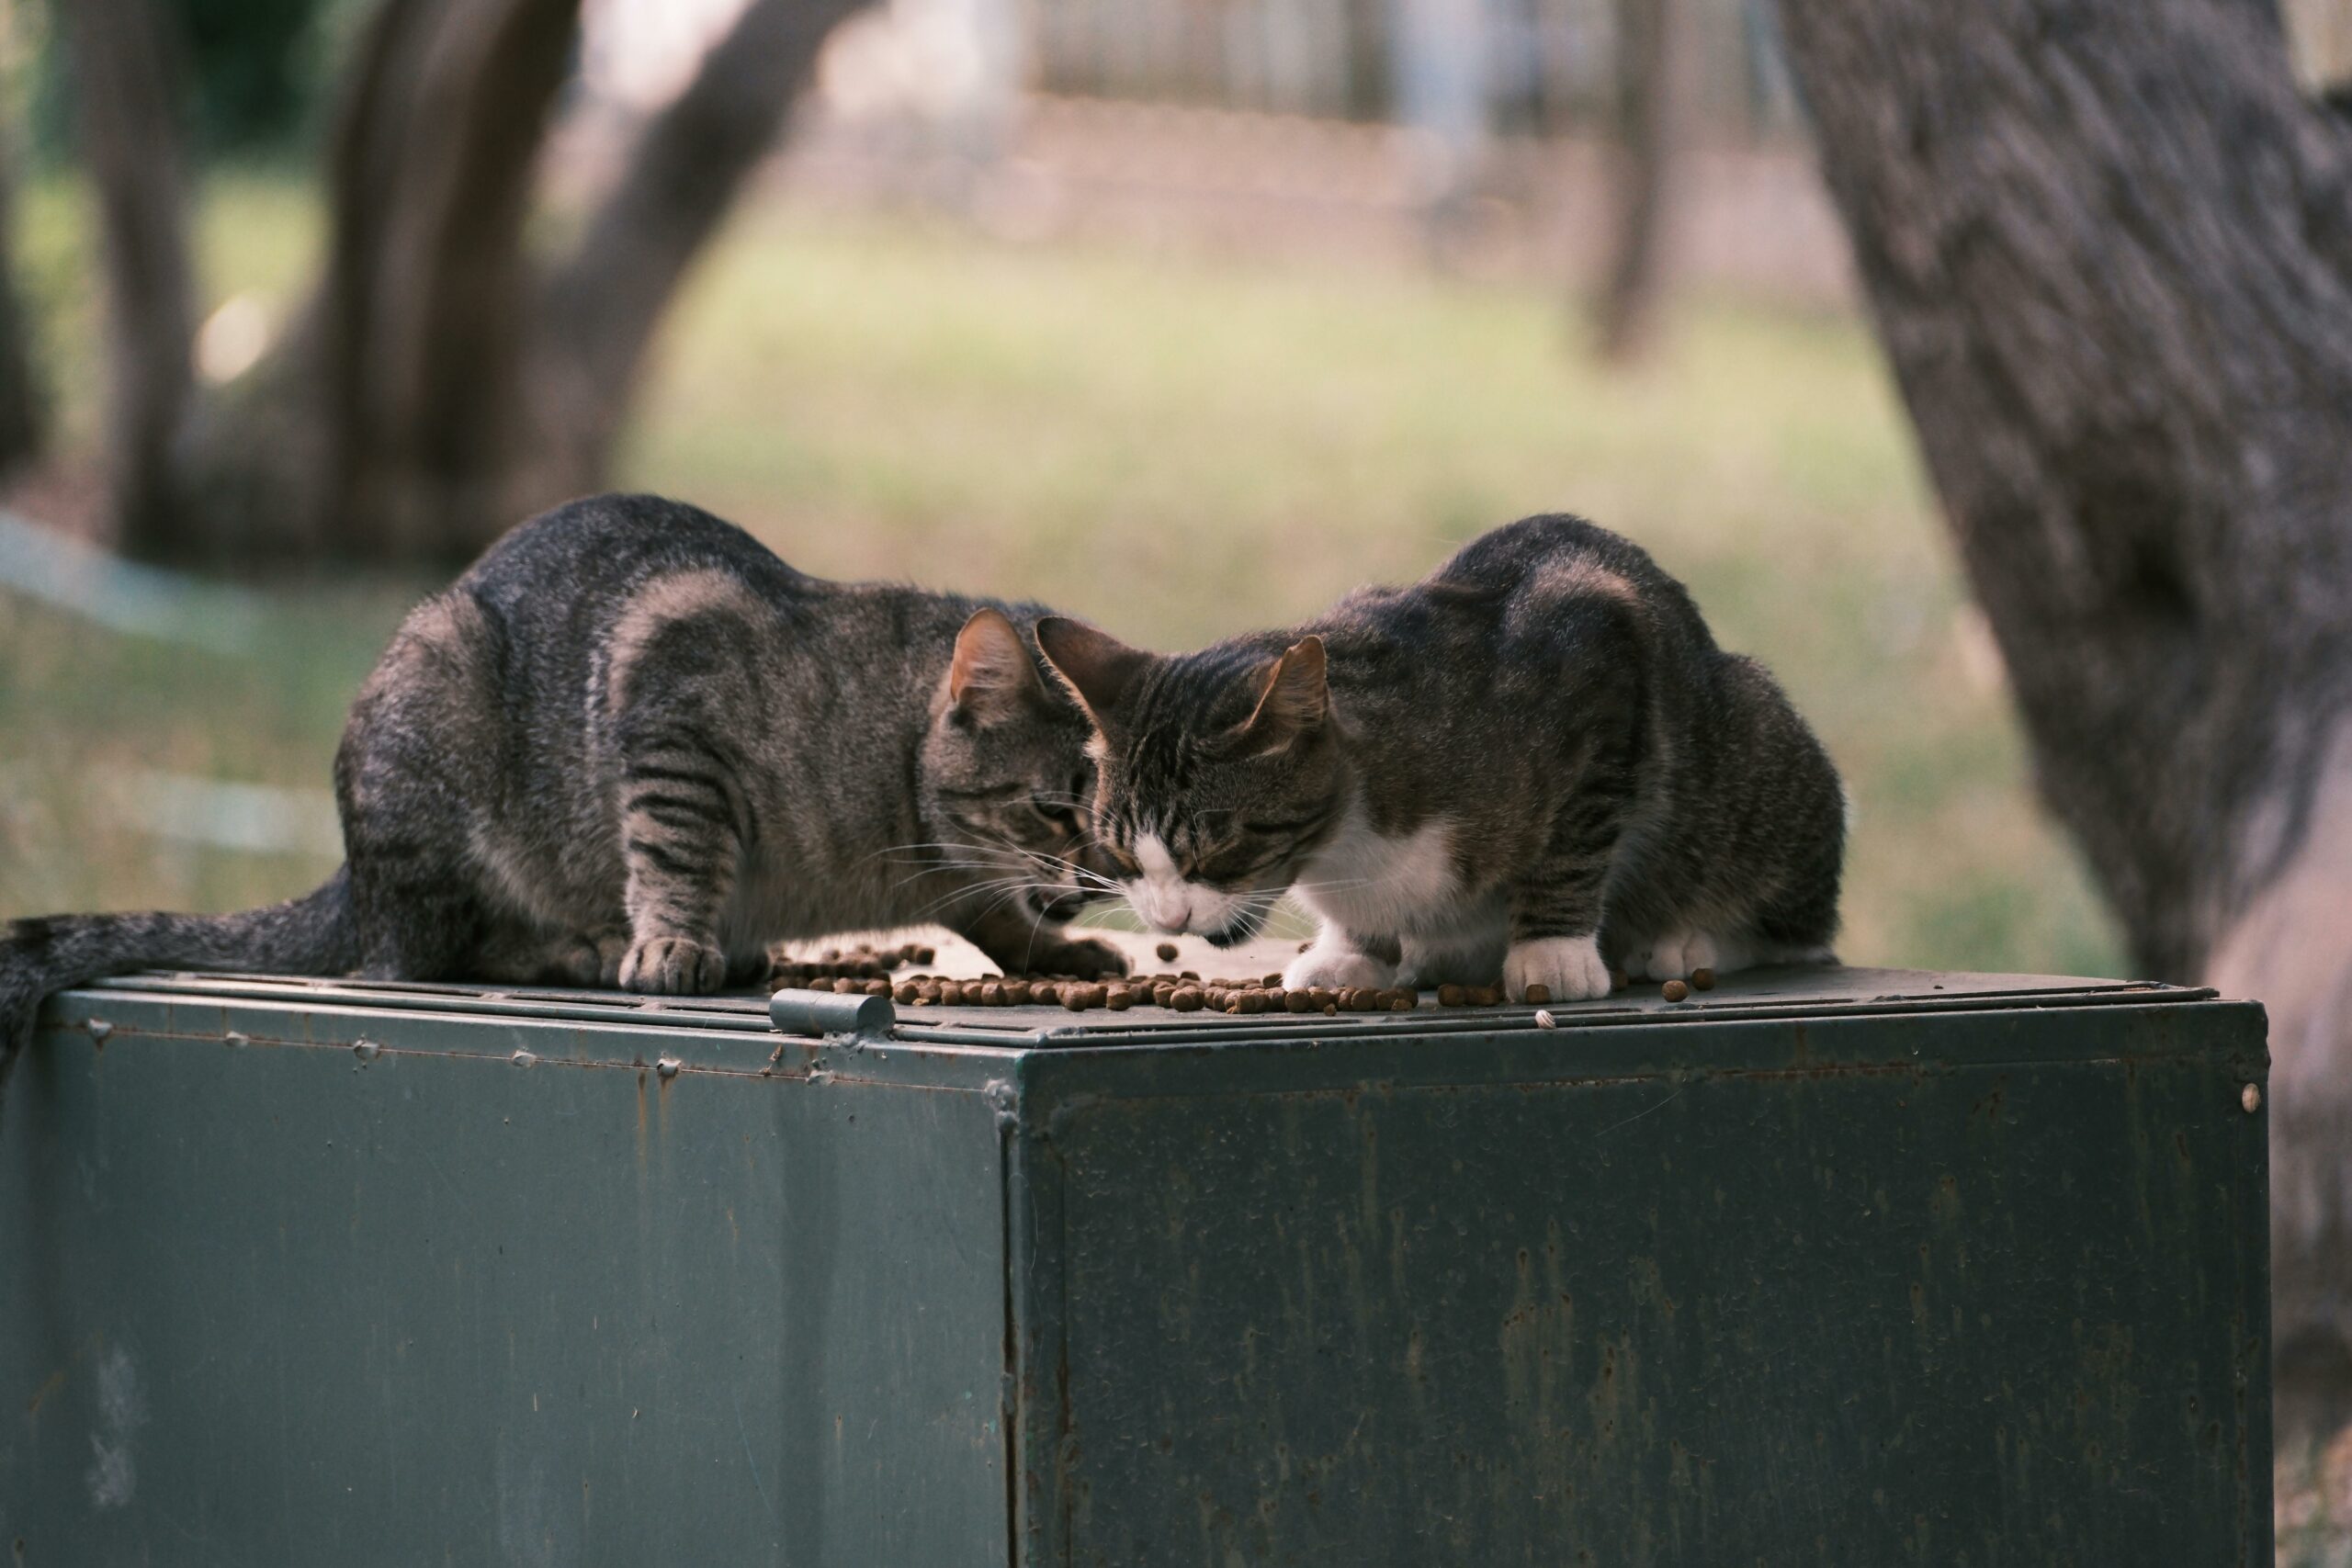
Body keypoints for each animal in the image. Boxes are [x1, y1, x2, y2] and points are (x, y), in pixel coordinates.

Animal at [0, 495, 1124, 1072]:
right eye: (1055, 809)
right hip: (438, 702)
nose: (1103, 879)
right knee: (423, 955)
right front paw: (672, 942)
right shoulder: (672, 710)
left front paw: (1055, 948)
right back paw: (585, 946)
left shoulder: (959, 876)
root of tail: (351, 878)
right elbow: (678, 851)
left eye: (1127, 828)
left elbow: (996, 910)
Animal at [1039, 514, 1844, 1006]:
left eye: (1219, 849)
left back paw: (1688, 939)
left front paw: (1553, 950)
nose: (1170, 918)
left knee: (1798, 928)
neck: (1346, 843)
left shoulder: (1600, 661)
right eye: (1123, 854)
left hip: (1754, 755)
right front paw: (1350, 948)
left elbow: (1573, 843)